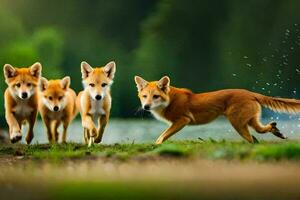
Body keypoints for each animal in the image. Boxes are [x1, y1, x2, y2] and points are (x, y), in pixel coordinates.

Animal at [135, 75, 300, 144]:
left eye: (155, 96)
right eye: (144, 96)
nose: (146, 107)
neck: (169, 101)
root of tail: (250, 93)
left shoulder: (183, 120)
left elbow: (162, 136)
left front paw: (156, 145)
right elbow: (161, 136)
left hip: (237, 123)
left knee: (252, 139)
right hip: (249, 121)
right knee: (259, 133)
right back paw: (276, 131)